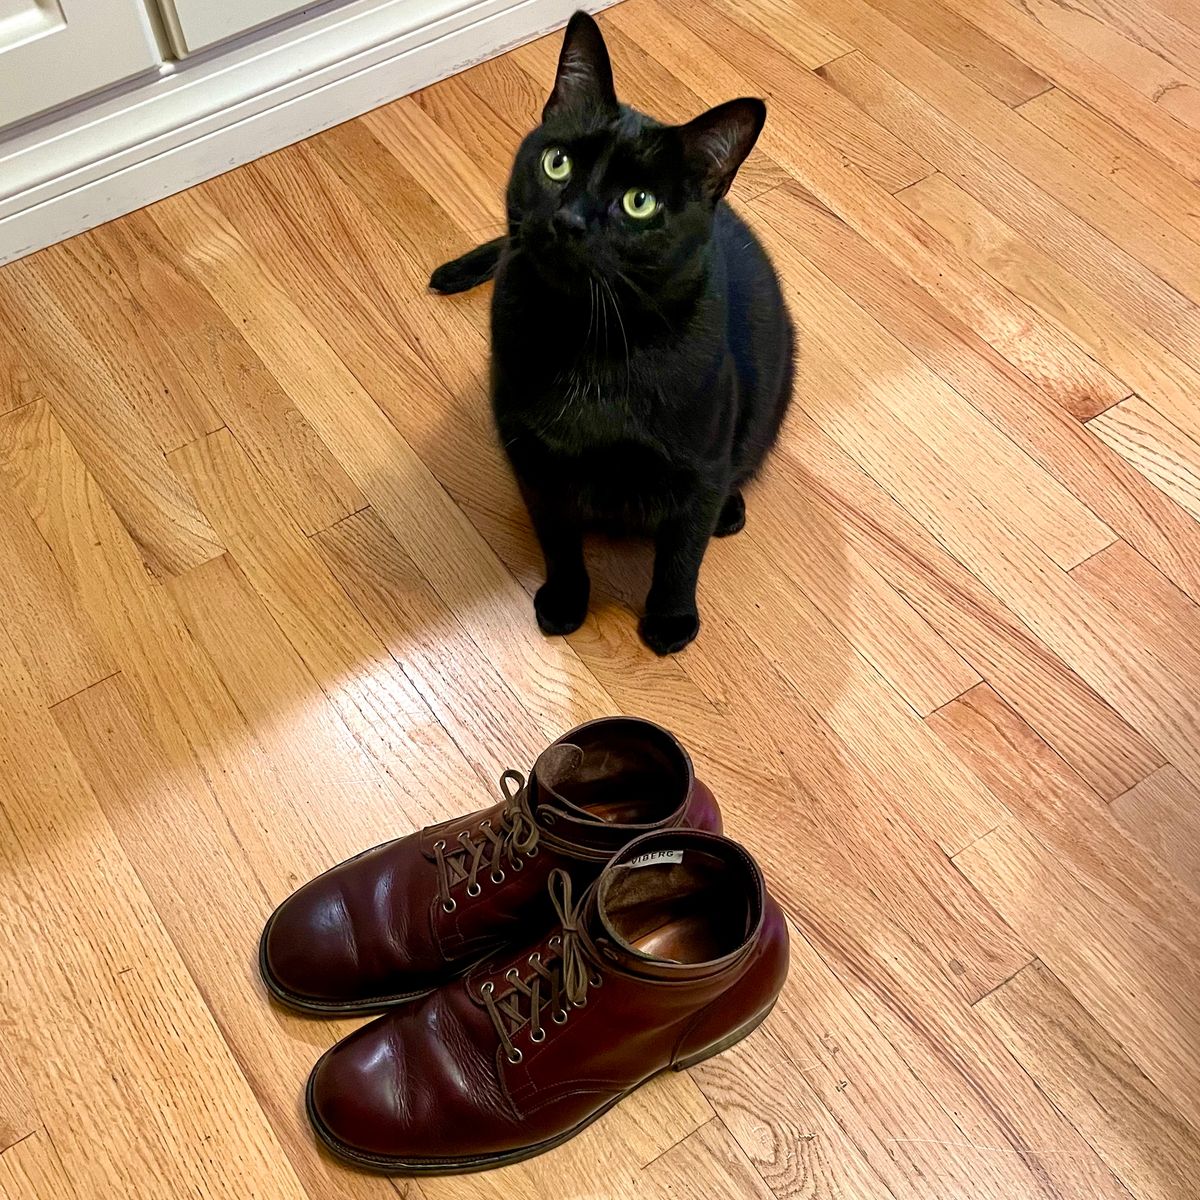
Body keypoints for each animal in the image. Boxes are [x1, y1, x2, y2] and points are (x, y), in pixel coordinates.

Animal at [434, 9, 796, 652]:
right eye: (557, 163)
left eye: (639, 202)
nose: (569, 220)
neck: (593, 339)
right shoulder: (535, 460)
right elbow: (558, 540)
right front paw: (564, 602)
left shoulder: (698, 467)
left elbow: (681, 554)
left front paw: (671, 622)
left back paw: (731, 511)